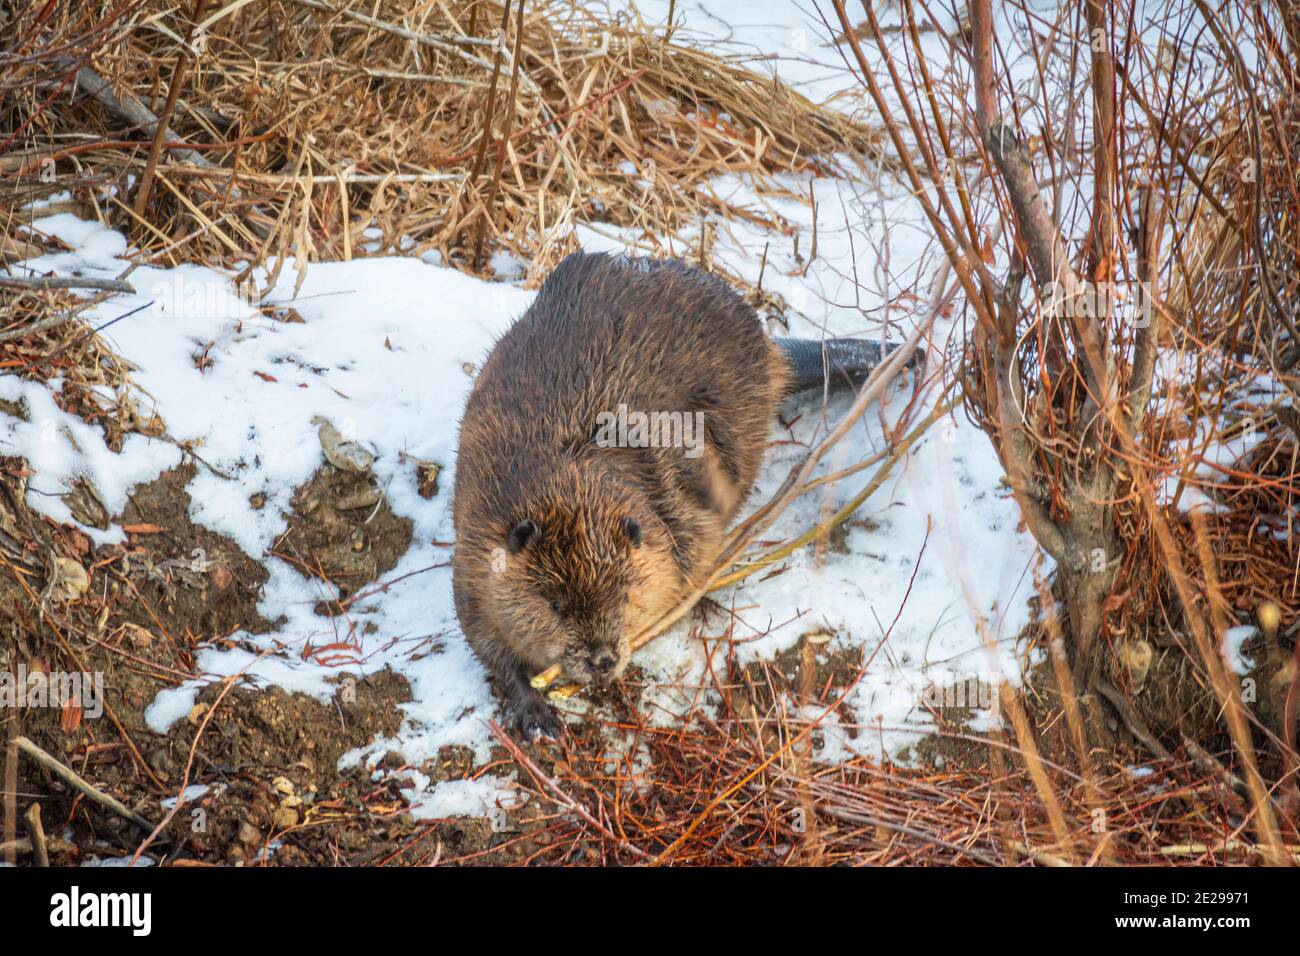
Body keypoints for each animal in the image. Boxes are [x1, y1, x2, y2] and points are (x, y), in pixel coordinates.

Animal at [457, 251, 904, 738]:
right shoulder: (475, 552)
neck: (568, 475)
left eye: (623, 593)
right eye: (555, 604)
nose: (601, 659)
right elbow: (488, 644)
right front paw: (539, 717)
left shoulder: (682, 525)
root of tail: (774, 350)